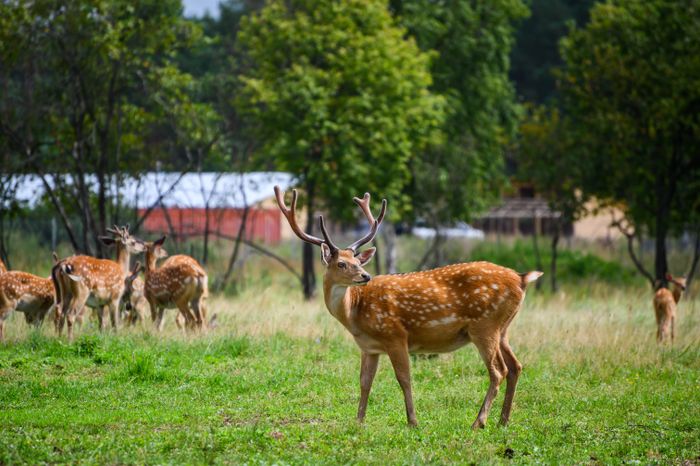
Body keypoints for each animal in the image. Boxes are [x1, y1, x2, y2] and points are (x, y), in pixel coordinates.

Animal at [274, 186, 543, 429]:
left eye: (357, 262)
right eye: (341, 263)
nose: (365, 276)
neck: (355, 314)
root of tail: (521, 279)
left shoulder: (396, 335)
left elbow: (404, 378)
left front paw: (413, 421)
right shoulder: (369, 348)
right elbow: (364, 382)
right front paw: (358, 421)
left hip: (485, 325)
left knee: (498, 371)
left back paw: (479, 422)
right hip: (503, 328)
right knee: (516, 366)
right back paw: (503, 421)